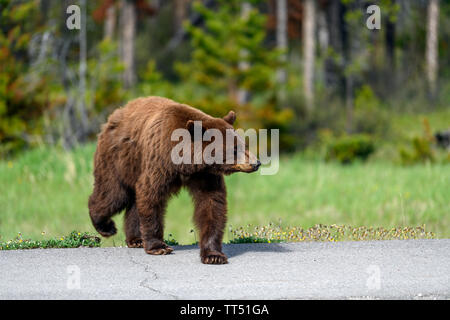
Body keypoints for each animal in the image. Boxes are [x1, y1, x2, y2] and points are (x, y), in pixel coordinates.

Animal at [88, 96, 260, 264]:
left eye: (244, 144)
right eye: (234, 149)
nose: (256, 163)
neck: (187, 163)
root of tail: (115, 114)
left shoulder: (205, 175)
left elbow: (212, 204)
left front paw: (213, 255)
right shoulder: (160, 161)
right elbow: (151, 195)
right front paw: (158, 247)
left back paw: (136, 239)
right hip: (119, 158)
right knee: (114, 193)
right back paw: (106, 226)